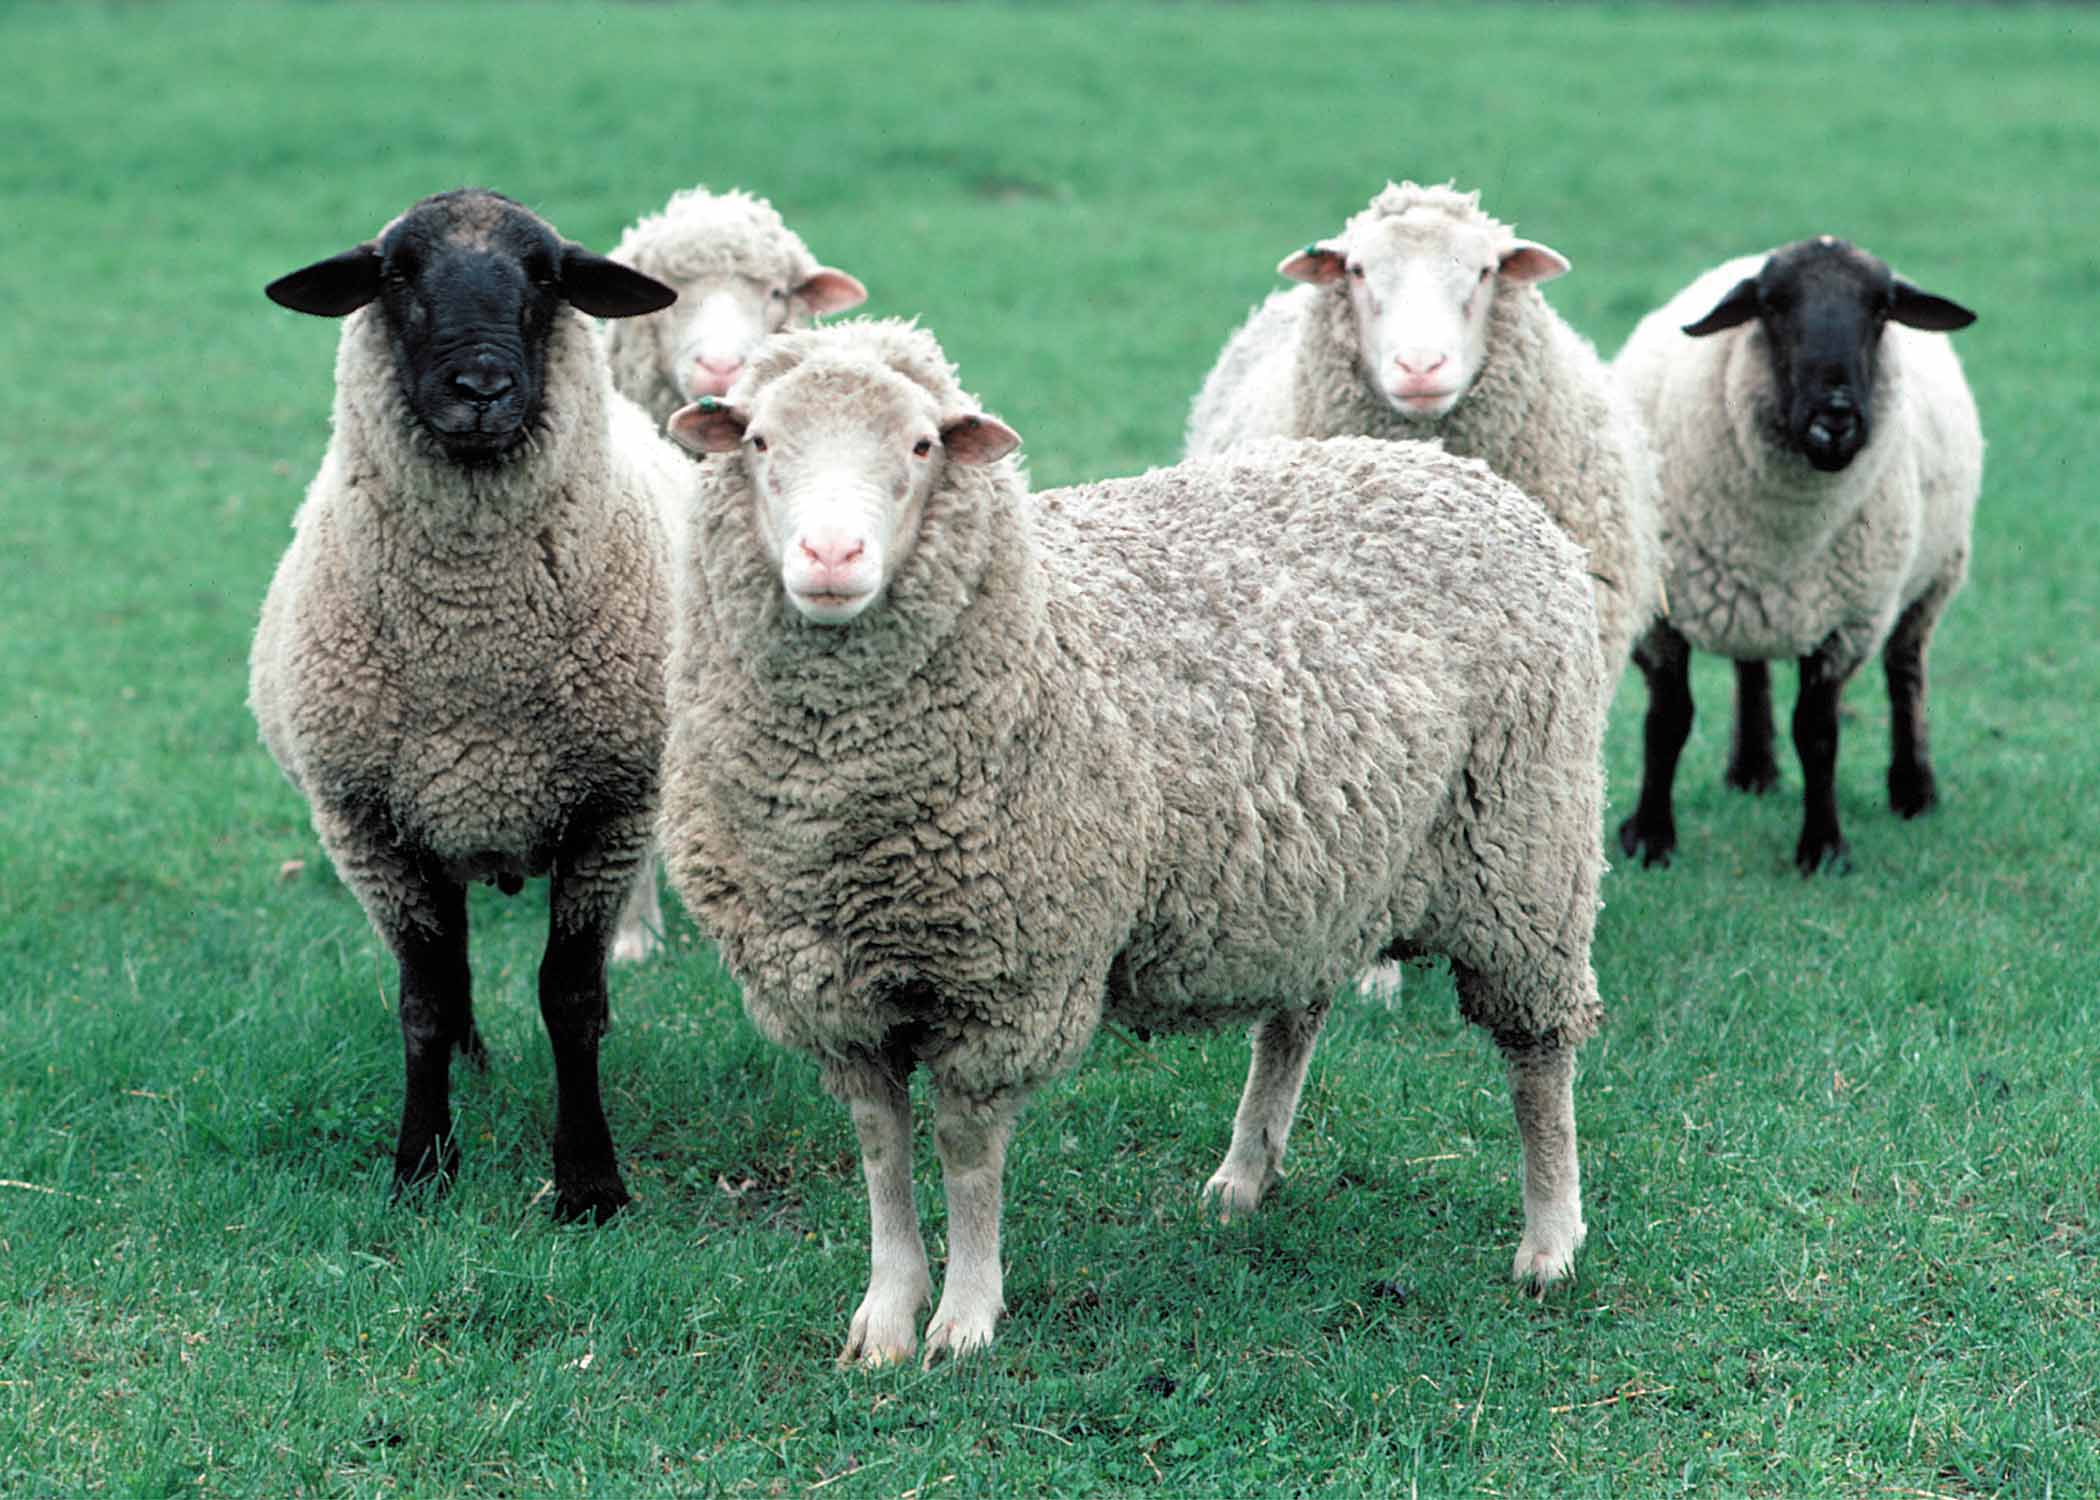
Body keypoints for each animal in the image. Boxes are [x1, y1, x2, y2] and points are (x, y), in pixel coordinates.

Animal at [250, 189, 686, 1221]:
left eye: (547, 275)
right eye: (396, 272)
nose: (482, 384)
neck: (474, 642)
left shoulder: (610, 809)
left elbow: (571, 998)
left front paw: (590, 1183)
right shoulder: (369, 824)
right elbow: (426, 998)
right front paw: (421, 1167)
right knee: (452, 973)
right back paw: (473, 1067)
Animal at [657, 319, 1608, 1366]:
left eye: (921, 445)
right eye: (758, 443)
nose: (832, 555)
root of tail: (1460, 472)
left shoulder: (1011, 974)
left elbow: (965, 1152)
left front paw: (966, 1317)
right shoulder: (833, 992)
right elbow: (880, 1148)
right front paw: (887, 1312)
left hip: (1526, 850)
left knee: (1540, 1055)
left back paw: (1551, 1237)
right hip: (1322, 864)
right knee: (1295, 1019)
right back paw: (1246, 1174)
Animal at [1610, 236, 1981, 876]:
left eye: (1881, 309)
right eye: (1772, 306)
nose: (1836, 417)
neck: (1785, 531)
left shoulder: (1850, 622)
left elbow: (1818, 731)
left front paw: (1824, 848)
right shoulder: (1661, 611)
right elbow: (1668, 718)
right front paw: (1650, 837)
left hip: (1934, 576)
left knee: (1905, 672)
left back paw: (1913, 790)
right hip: (1750, 595)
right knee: (1751, 666)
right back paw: (1753, 770)